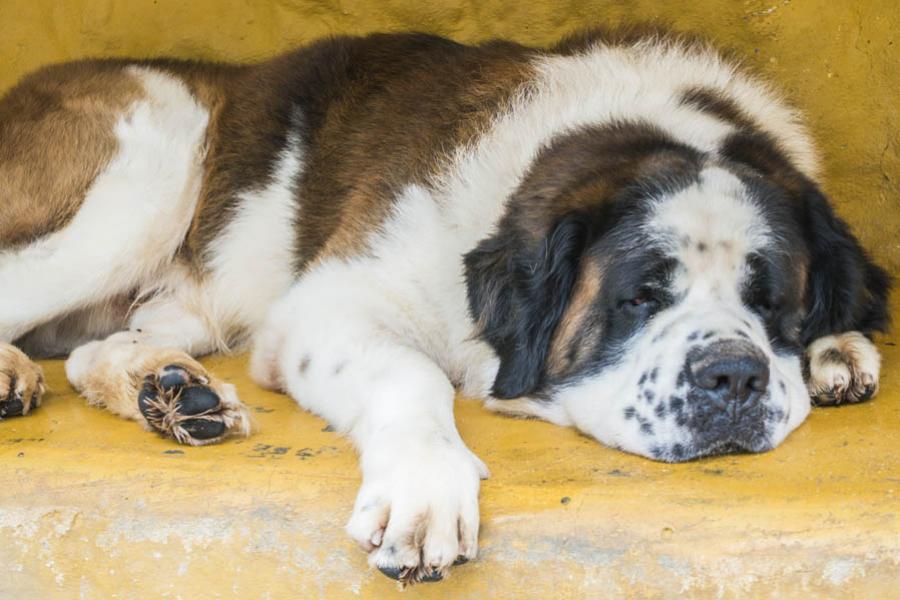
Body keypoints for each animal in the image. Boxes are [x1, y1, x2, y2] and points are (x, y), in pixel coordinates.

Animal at [0, 25, 888, 584]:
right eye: (640, 297)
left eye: (775, 306)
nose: (733, 376)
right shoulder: (333, 302)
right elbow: (411, 377)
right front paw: (425, 494)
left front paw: (837, 351)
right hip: (142, 173)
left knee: (97, 346)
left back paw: (171, 390)